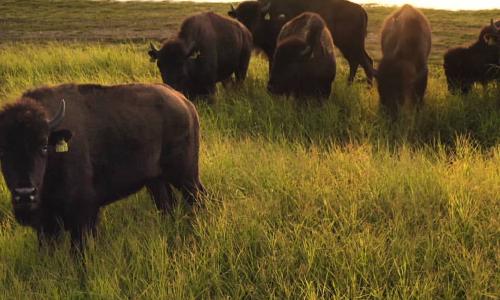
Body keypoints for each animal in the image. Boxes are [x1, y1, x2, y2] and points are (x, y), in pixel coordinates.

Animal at [0, 82, 205, 251]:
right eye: (2, 149)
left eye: (43, 145)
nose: (25, 194)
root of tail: (183, 101)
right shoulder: (46, 226)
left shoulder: (83, 215)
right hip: (156, 181)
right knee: (166, 204)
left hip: (186, 176)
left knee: (198, 198)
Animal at [229, 0, 372, 84]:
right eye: (238, 17)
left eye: (255, 17)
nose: (245, 30)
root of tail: (362, 10)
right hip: (348, 47)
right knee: (357, 61)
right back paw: (350, 84)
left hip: (352, 45)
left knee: (364, 62)